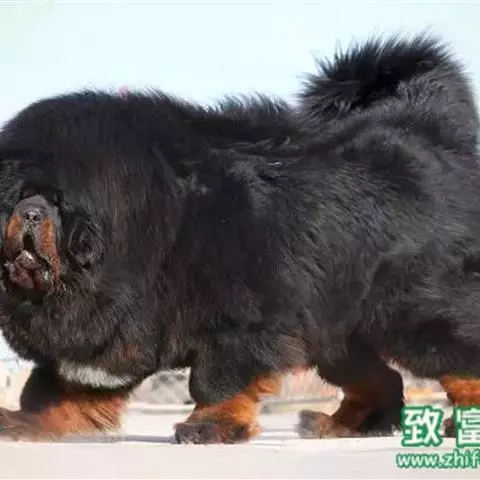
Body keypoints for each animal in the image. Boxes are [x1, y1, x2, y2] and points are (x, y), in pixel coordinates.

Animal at [0, 33, 478, 443]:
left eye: (59, 201)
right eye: (17, 195)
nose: (30, 212)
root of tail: (429, 137)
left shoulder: (242, 321)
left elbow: (215, 379)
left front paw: (210, 427)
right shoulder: (108, 336)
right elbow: (55, 389)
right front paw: (25, 422)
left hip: (412, 312)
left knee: (457, 359)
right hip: (337, 332)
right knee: (380, 378)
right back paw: (338, 425)